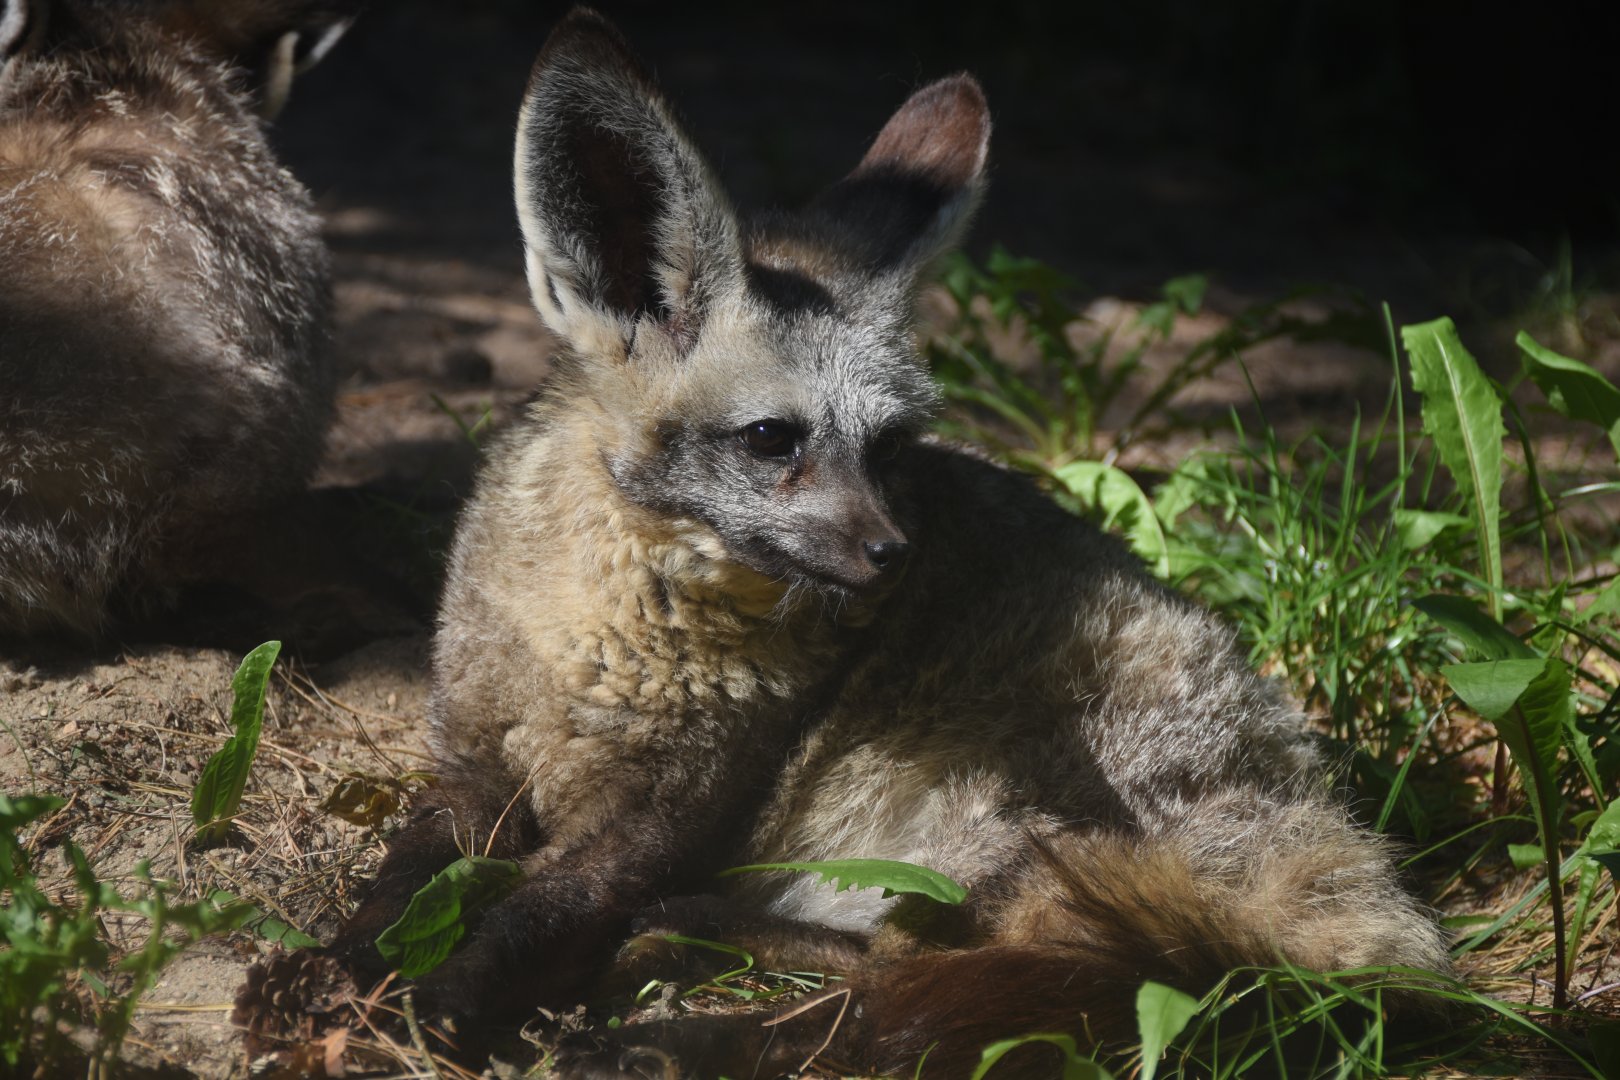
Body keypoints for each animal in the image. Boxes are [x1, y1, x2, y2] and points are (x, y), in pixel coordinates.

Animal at [314, 9, 1449, 1076]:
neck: (597, 642)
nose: (895, 557)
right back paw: (687, 942)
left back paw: (667, 1038)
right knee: (888, 966)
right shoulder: (469, 767)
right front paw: (334, 969)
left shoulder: (661, 823)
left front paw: (431, 1008)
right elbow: (399, 886)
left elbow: (526, 917)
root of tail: (1367, 882)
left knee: (909, 1009)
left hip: (1014, 842)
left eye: (893, 445)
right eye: (773, 440)